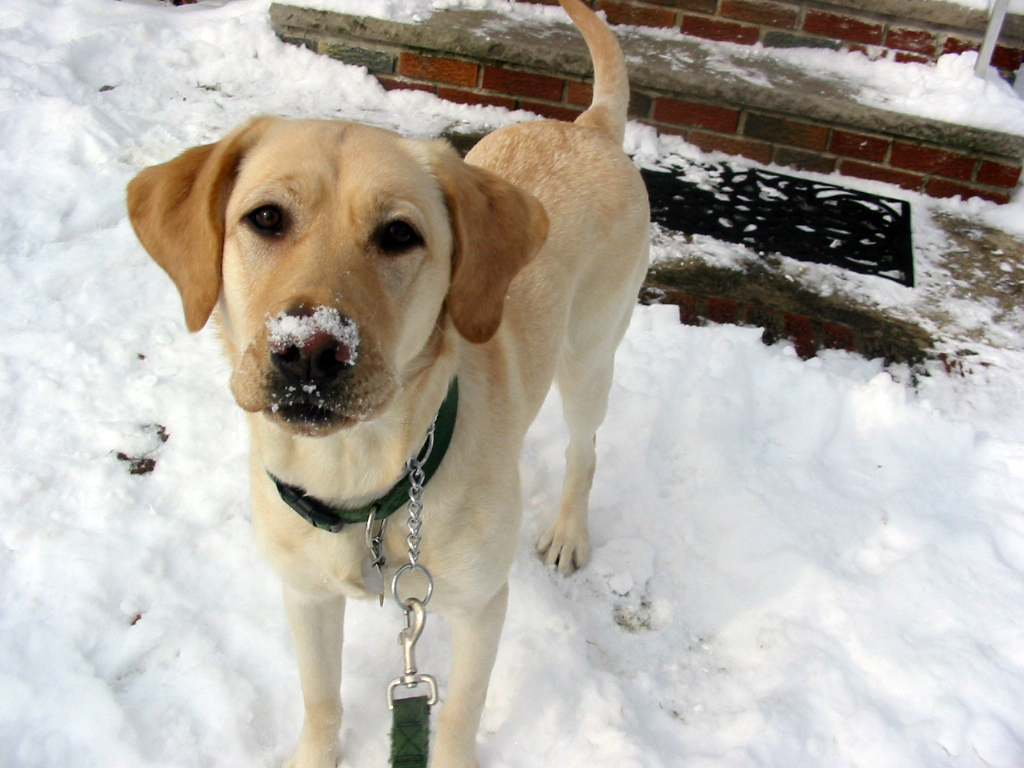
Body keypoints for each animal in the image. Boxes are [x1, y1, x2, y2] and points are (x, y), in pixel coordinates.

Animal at [125, 0, 647, 765]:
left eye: (400, 234)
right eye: (266, 218)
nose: (310, 350)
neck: (360, 480)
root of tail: (586, 126)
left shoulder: (480, 606)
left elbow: (458, 715)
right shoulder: (306, 596)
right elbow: (321, 699)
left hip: (590, 354)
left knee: (586, 447)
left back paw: (567, 532)